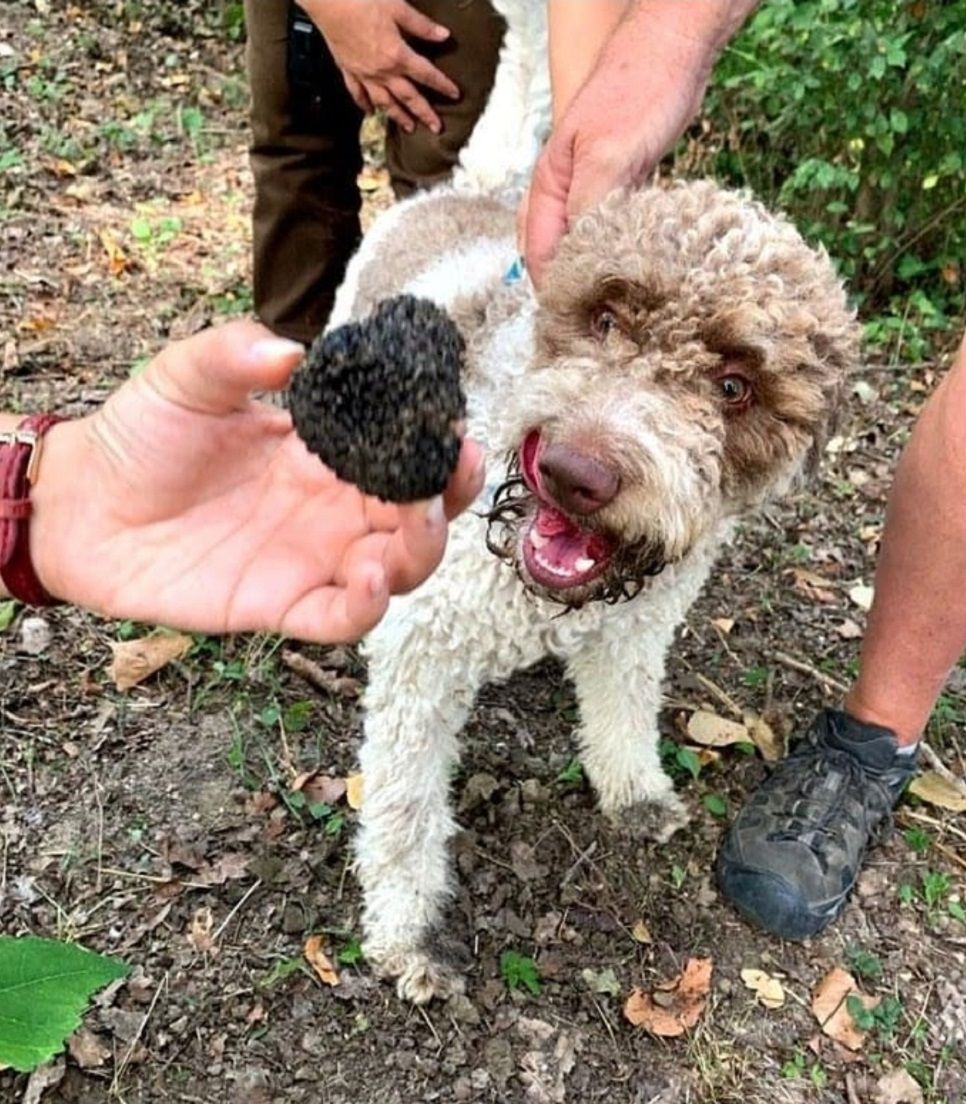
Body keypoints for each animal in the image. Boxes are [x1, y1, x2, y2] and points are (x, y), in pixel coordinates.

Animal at [328, 0, 856, 1006]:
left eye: (734, 386)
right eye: (606, 319)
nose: (574, 473)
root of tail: (480, 191)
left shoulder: (637, 627)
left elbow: (625, 707)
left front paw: (635, 790)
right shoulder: (421, 659)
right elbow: (406, 809)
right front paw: (407, 930)